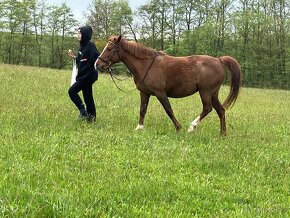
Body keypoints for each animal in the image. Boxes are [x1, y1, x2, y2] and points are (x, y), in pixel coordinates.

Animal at [94, 35, 241, 135]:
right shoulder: (144, 93)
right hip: (213, 93)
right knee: (220, 110)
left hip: (205, 91)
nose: (97, 64)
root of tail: (219, 60)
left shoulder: (160, 93)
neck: (146, 65)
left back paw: (192, 127)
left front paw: (178, 127)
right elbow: (142, 110)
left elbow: (168, 110)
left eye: (109, 48)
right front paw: (139, 128)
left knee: (207, 108)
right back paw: (222, 134)